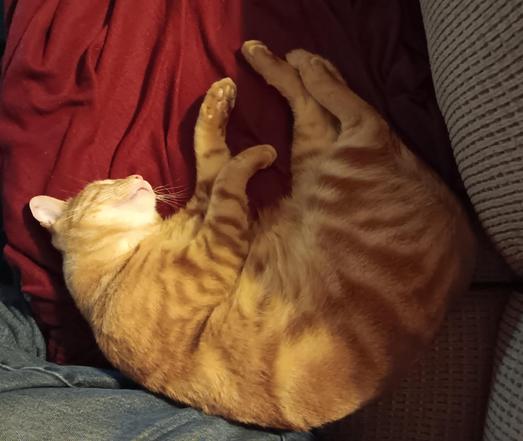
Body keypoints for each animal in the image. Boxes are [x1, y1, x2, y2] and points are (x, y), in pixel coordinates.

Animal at [29, 42, 478, 430]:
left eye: (118, 176)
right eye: (105, 184)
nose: (138, 176)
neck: (121, 263)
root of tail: (462, 231)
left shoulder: (206, 207)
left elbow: (209, 151)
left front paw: (218, 102)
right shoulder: (218, 244)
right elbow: (231, 172)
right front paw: (256, 153)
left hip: (320, 158)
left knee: (315, 106)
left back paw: (269, 58)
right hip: (345, 162)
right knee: (357, 113)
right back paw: (304, 63)